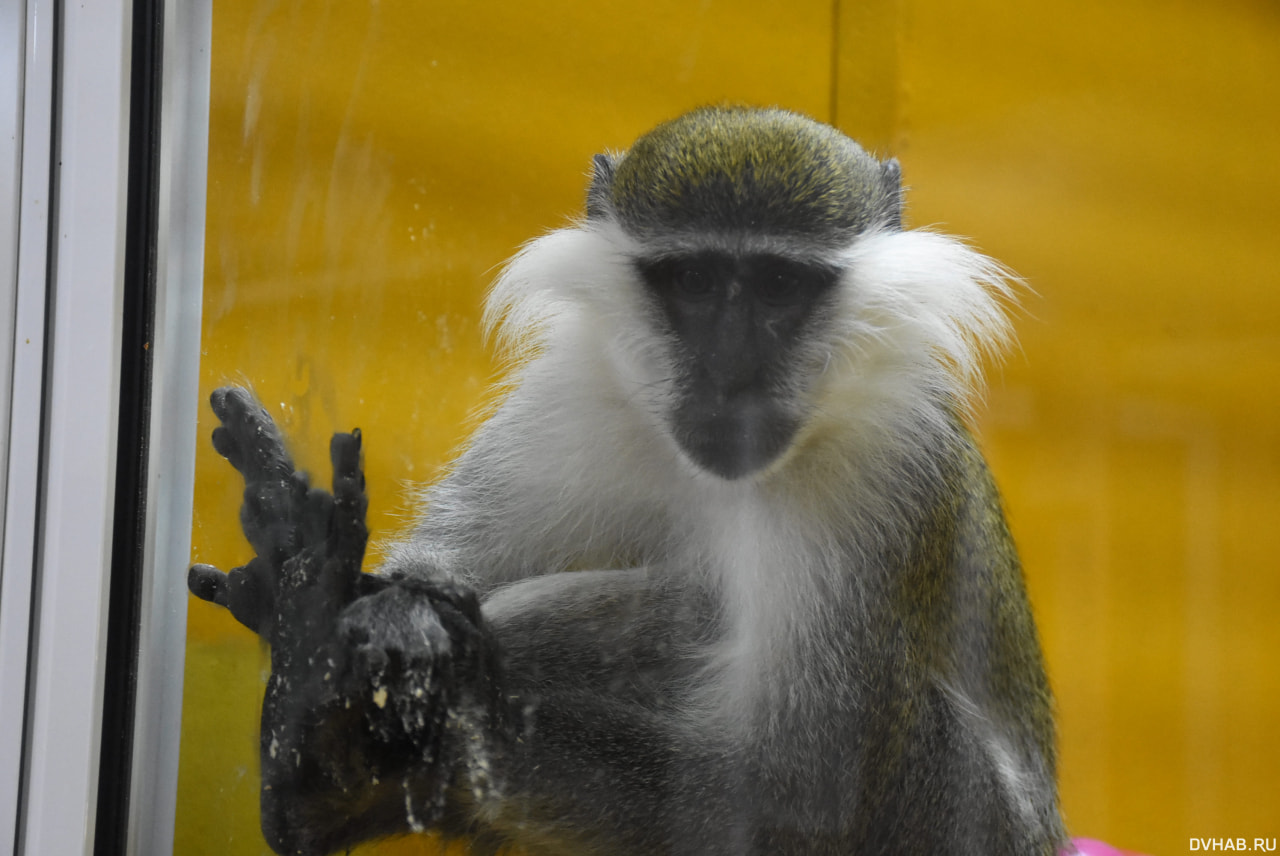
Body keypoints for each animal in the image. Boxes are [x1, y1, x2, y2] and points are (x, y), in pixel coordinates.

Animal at [189, 104, 1064, 854]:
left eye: (780, 285)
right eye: (695, 282)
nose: (731, 373)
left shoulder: (887, 474)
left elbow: (795, 797)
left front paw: (458, 710)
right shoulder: (573, 397)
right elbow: (450, 568)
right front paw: (352, 608)